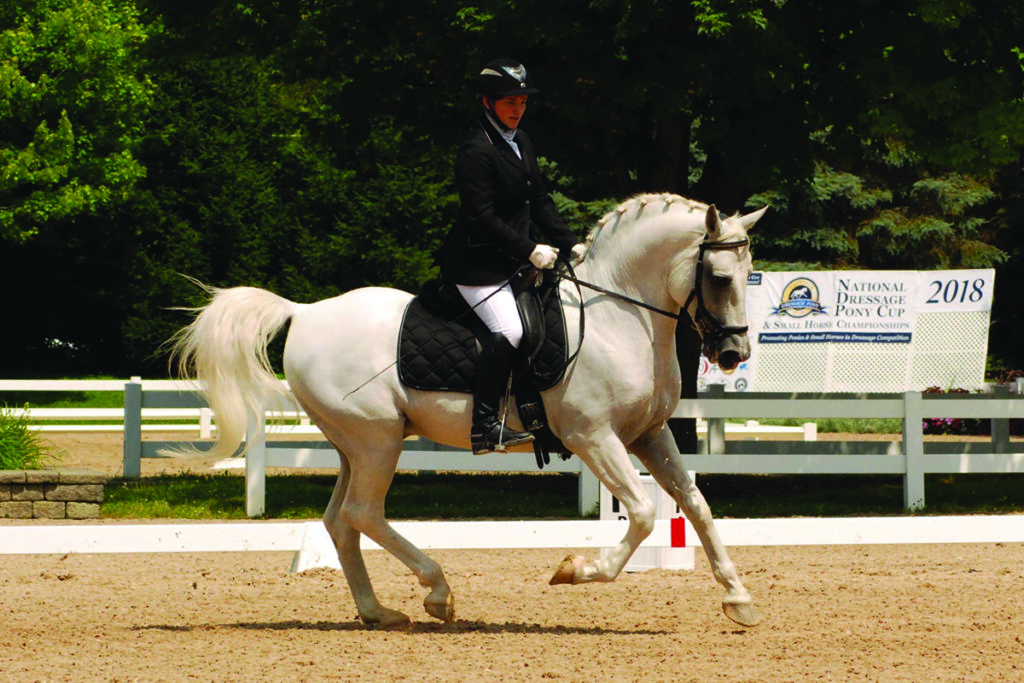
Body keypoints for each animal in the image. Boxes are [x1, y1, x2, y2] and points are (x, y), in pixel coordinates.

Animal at [169, 193, 770, 630]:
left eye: (748, 276)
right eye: (720, 278)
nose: (733, 353)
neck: (620, 315)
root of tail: (305, 312)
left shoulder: (649, 434)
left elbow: (696, 505)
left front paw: (739, 599)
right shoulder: (593, 436)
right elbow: (644, 512)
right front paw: (576, 570)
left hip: (352, 446)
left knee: (341, 521)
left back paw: (379, 612)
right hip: (377, 441)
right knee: (363, 513)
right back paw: (438, 592)